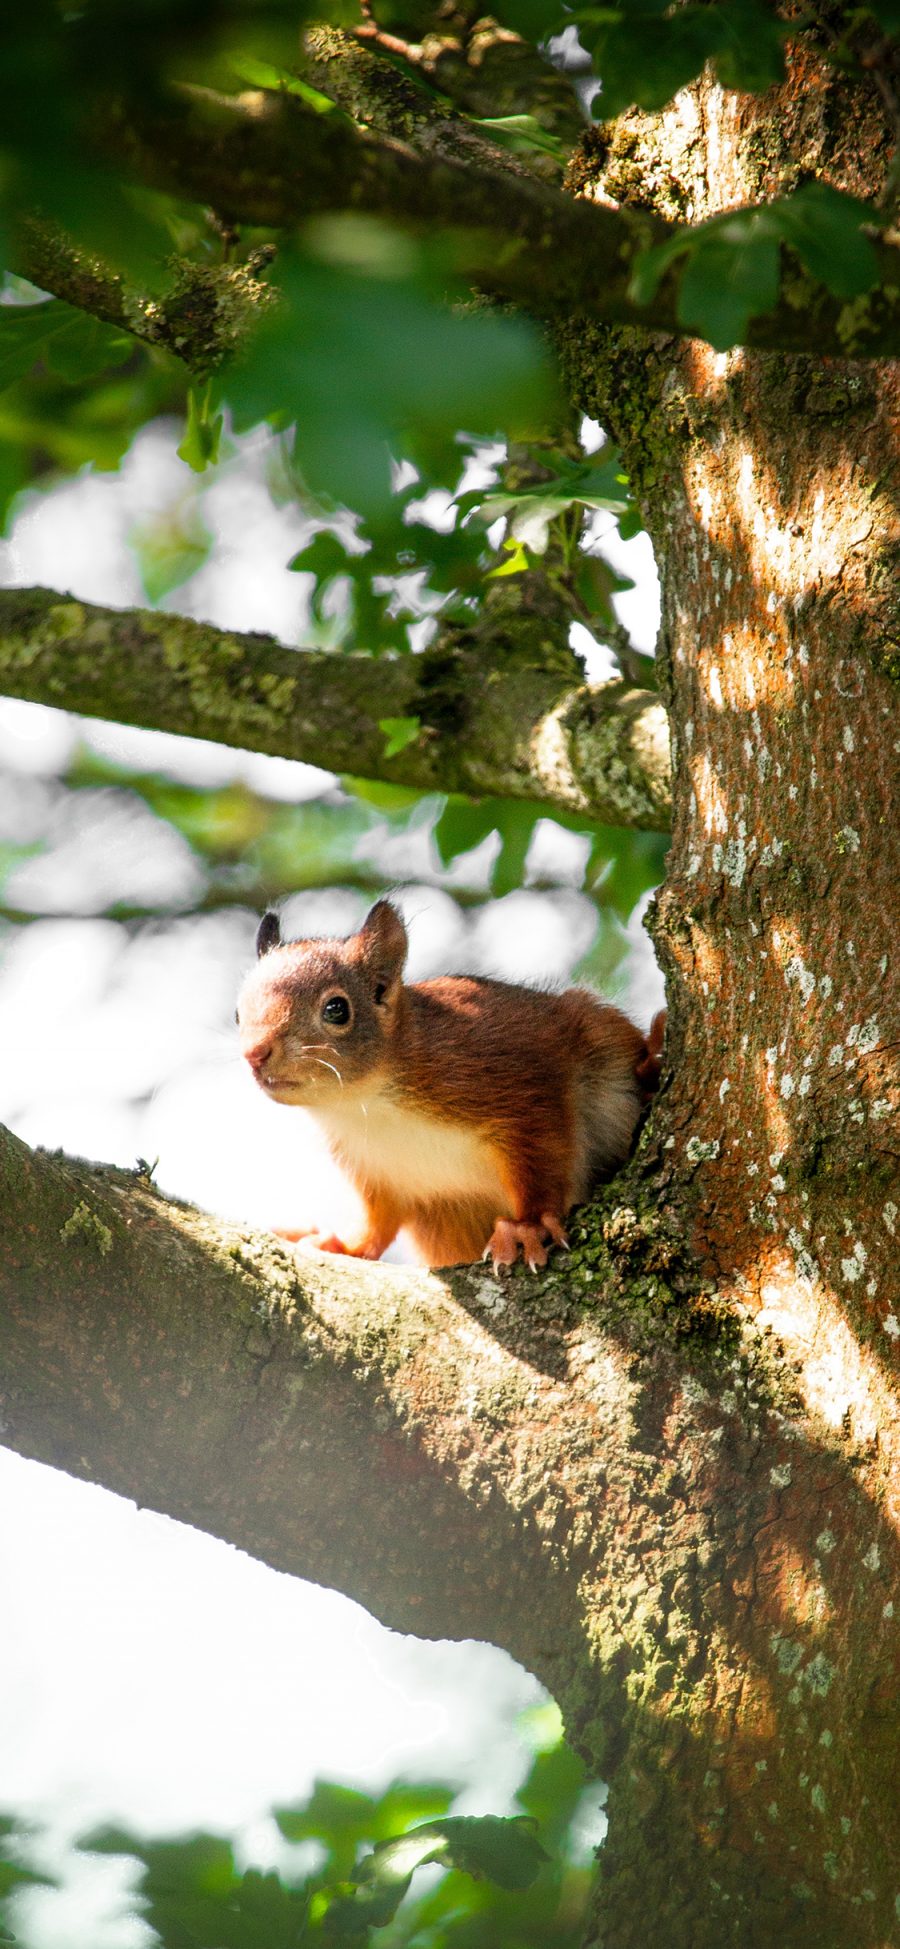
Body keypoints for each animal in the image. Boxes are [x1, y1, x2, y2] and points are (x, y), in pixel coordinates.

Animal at [235, 900, 666, 1270]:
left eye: (337, 1009)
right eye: (238, 1013)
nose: (255, 1053)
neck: (365, 1101)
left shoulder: (519, 1079)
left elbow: (543, 1155)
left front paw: (527, 1227)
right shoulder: (374, 1168)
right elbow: (379, 1220)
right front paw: (341, 1244)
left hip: (597, 1031)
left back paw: (652, 1062)